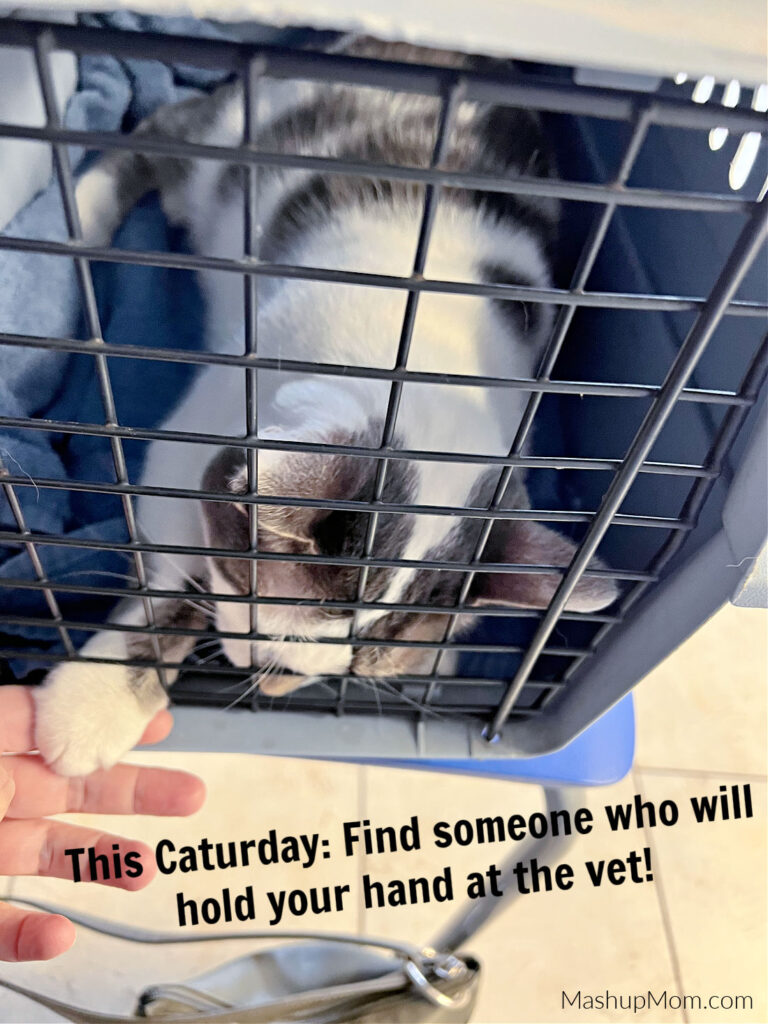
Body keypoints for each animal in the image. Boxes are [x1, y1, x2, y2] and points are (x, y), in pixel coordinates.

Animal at [33, 39, 618, 774]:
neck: (421, 377)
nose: (257, 671)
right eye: (263, 620)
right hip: (237, 134)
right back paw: (78, 213)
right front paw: (95, 701)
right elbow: (170, 565)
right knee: (167, 132)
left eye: (352, 669)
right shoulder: (198, 429)